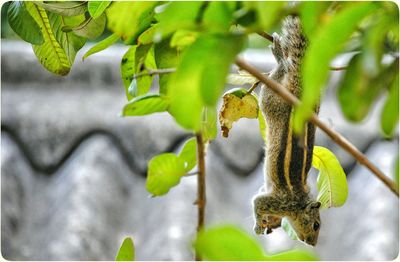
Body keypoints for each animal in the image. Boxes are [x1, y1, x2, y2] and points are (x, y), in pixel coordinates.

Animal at [253, 15, 322, 246]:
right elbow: (257, 203)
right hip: (271, 100)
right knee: (278, 74)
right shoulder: (281, 202)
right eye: (316, 225)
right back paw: (280, 56)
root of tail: (300, 96)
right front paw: (258, 224)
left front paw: (268, 222)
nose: (312, 243)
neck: (300, 203)